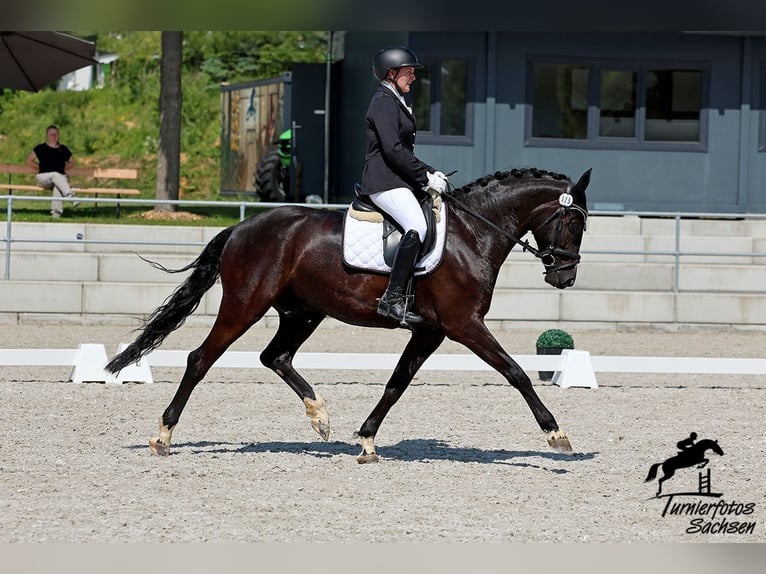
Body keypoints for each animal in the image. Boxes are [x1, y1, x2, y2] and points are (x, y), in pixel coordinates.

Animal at [105, 167, 591, 463]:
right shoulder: (464, 325)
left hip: (303, 313)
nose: (565, 277)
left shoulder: (430, 333)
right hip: (245, 305)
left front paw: (367, 440)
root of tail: (241, 227)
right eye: (573, 223)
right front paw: (556, 435)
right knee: (200, 360)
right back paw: (163, 436)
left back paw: (319, 416)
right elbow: (517, 373)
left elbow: (396, 385)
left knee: (275, 357)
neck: (472, 234)